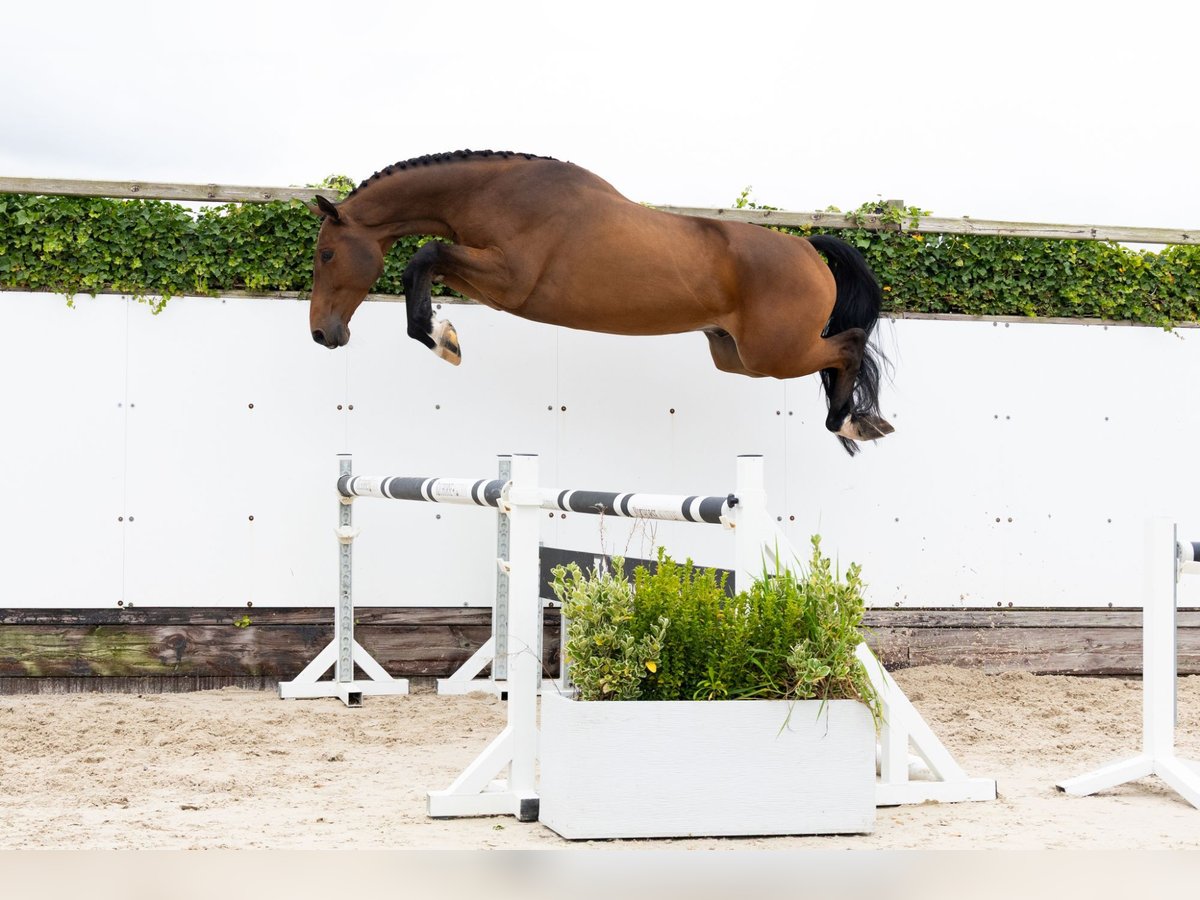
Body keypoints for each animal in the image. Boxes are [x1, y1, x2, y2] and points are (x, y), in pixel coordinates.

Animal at [307, 150, 893, 454]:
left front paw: (442, 339)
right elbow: (429, 262)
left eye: (327, 254)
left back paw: (849, 422)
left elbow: (423, 256)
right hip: (735, 356)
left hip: (774, 354)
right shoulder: (489, 280)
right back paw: (861, 423)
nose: (322, 333)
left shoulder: (509, 279)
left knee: (849, 345)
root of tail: (806, 246)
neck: (493, 192)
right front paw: (444, 333)